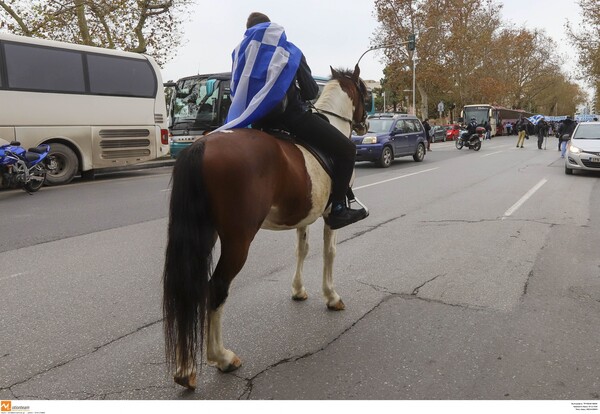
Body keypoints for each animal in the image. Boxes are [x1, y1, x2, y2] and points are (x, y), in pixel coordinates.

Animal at [162, 64, 368, 388]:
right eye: (366, 94)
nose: (365, 125)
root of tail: (203, 145)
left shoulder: (303, 216)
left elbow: (301, 249)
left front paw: (298, 290)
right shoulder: (328, 215)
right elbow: (329, 252)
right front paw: (331, 296)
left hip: (202, 236)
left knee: (189, 290)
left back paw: (185, 371)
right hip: (238, 240)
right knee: (216, 288)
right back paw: (222, 358)